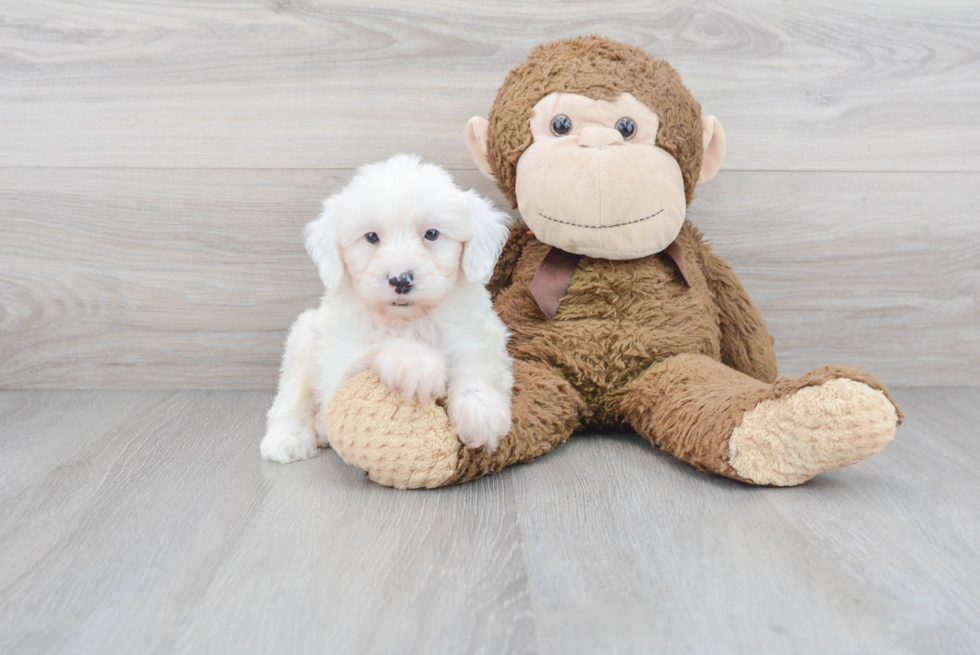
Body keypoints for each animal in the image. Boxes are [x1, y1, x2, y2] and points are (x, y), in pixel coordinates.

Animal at [264, 154, 516, 464]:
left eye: (432, 234)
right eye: (371, 237)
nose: (400, 280)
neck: (410, 320)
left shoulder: (478, 333)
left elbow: (477, 365)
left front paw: (482, 411)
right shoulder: (338, 365)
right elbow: (377, 348)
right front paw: (417, 363)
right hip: (304, 337)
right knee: (290, 398)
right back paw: (288, 438)